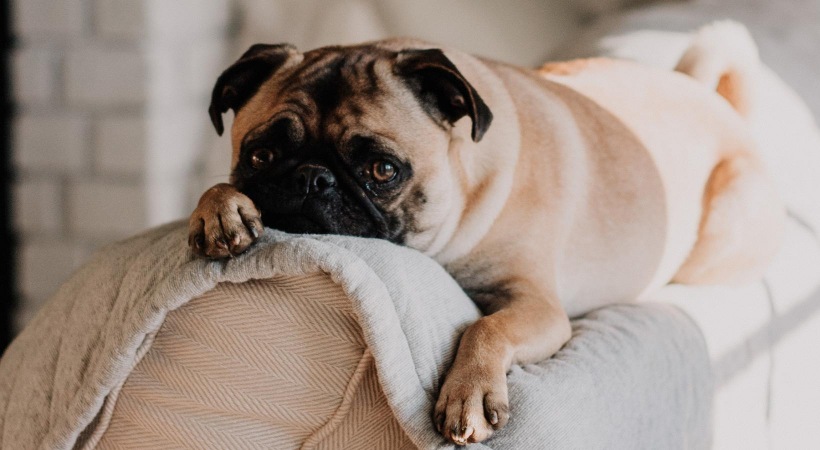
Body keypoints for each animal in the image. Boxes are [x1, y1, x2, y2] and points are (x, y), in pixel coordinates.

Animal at [189, 22, 784, 444]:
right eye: (261, 155)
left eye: (383, 170)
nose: (313, 179)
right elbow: (216, 191)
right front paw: (219, 209)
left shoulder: (538, 306)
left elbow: (486, 328)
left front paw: (469, 394)